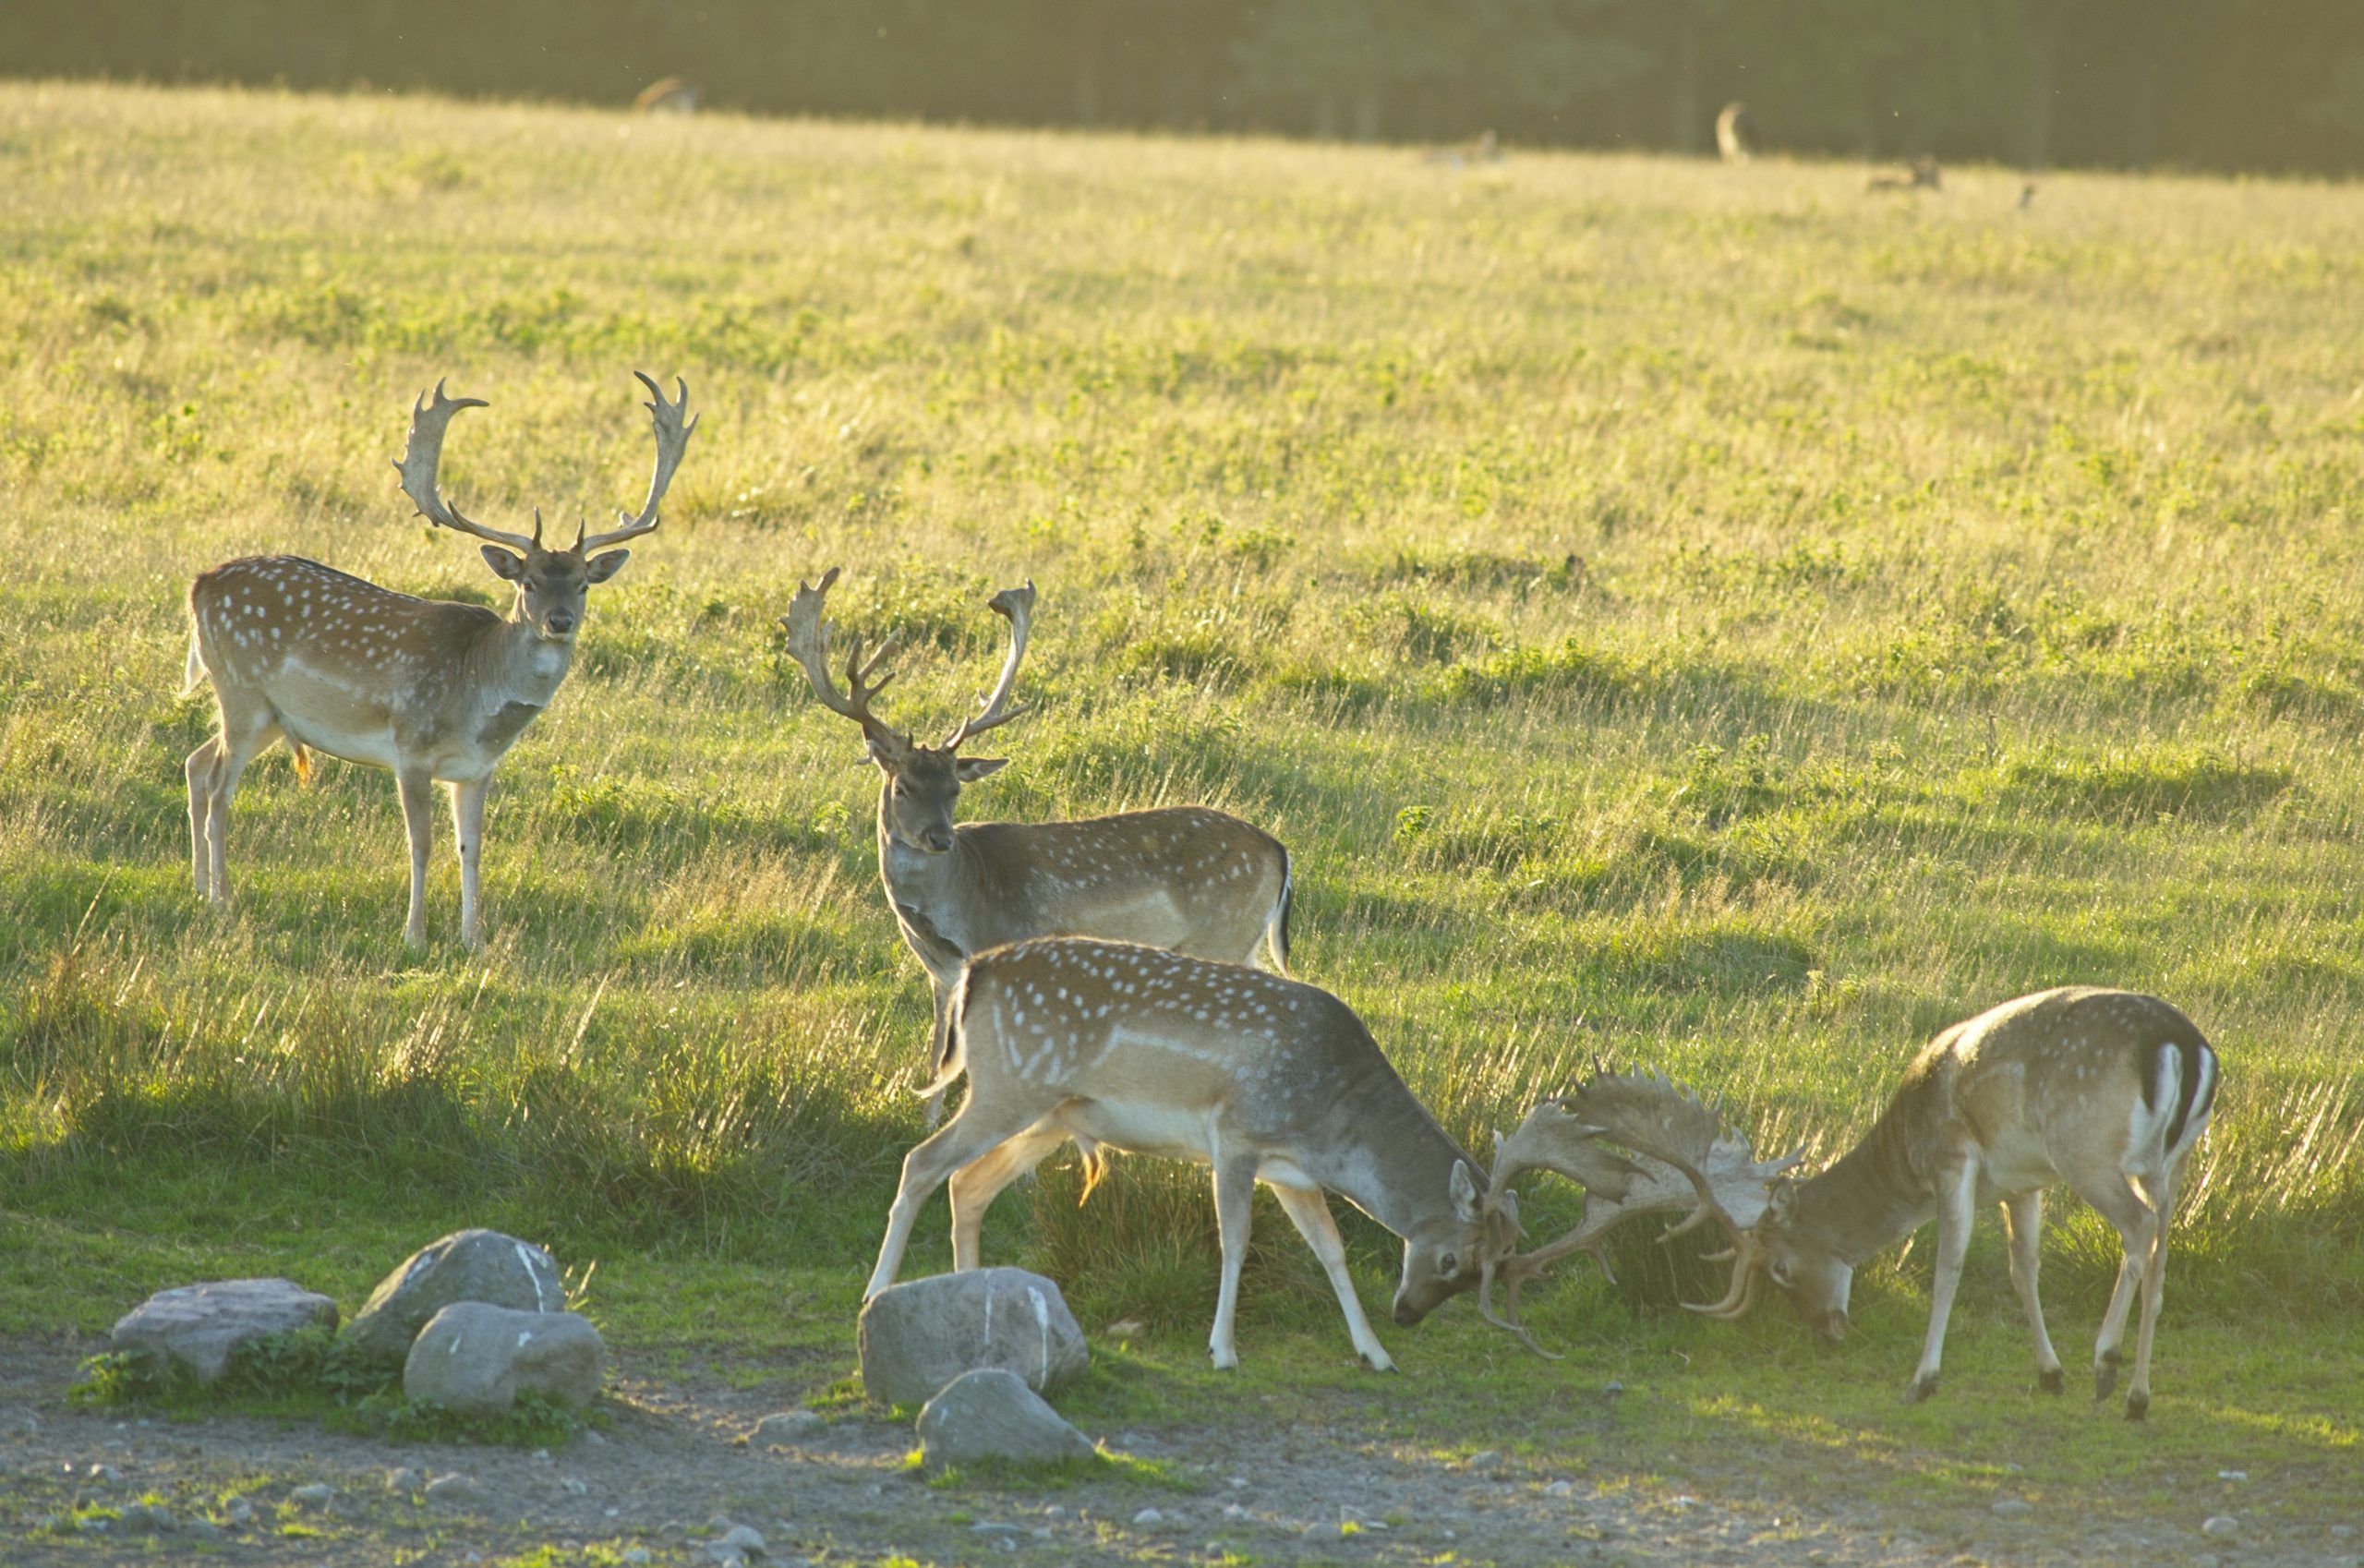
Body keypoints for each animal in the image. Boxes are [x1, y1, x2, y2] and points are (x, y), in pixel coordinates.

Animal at [181, 372, 697, 949]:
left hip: (267, 712)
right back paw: (223, 900)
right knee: (220, 787)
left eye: (584, 584)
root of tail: (198, 586)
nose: (560, 621)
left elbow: (471, 847)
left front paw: (475, 938)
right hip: (241, 691)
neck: (476, 697)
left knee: (197, 762)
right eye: (528, 582)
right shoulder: (411, 747)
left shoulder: (477, 769)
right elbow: (421, 844)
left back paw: (200, 888)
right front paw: (415, 936)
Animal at [781, 569, 1293, 1114]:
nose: (940, 838)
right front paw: (924, 1120)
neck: (959, 901)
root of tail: (1279, 851)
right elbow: (938, 1061)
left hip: (1224, 936)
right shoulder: (940, 973)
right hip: (1242, 943)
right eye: (903, 787)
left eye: (955, 788)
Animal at [1476, 988, 2220, 1419]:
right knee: (2162, 1244)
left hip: (2086, 1147)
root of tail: (2187, 1047)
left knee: (2139, 1230)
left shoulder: (1954, 1158)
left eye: (1778, 1268)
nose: (1827, 1330)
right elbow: (2022, 1269)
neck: (1904, 1150)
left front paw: (1923, 1380)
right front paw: (2047, 1375)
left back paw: (2107, 1365)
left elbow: (1948, 1266)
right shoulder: (2023, 1180)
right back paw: (2136, 1394)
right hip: (2171, 1162)